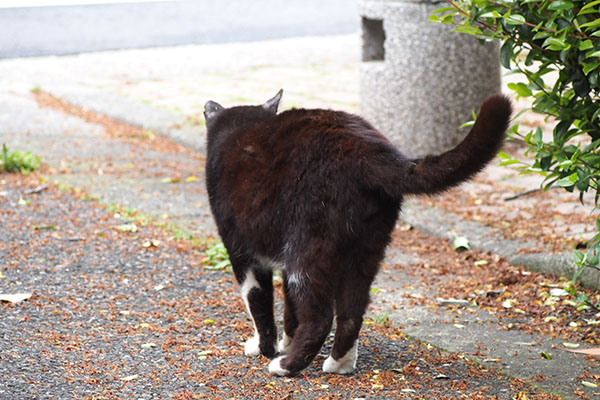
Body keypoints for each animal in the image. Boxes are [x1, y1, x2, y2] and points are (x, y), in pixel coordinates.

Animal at [203, 89, 510, 376]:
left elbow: (259, 303)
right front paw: (285, 343)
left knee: (320, 317)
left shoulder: (242, 250)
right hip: (367, 247)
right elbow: (290, 309)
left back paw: (286, 366)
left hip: (307, 249)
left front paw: (263, 347)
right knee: (352, 311)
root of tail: (367, 149)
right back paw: (339, 364)